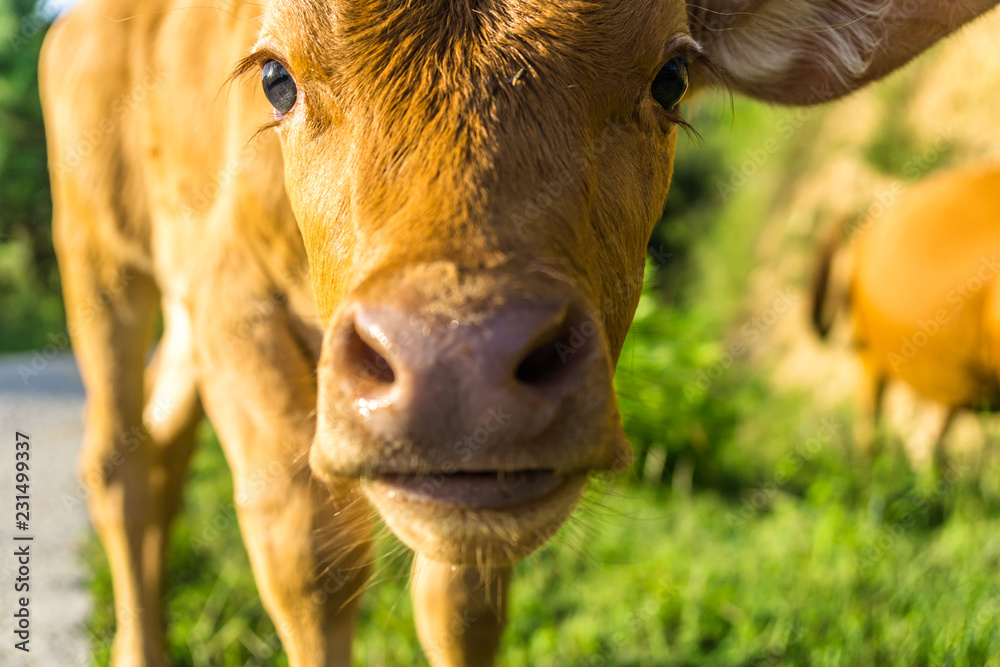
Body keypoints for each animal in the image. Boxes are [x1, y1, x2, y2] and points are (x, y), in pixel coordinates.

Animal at [35, 0, 996, 664]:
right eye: (276, 76)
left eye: (671, 78)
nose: (458, 366)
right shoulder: (231, 295)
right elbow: (314, 560)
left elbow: (463, 599)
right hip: (98, 251)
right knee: (116, 460)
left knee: (161, 444)